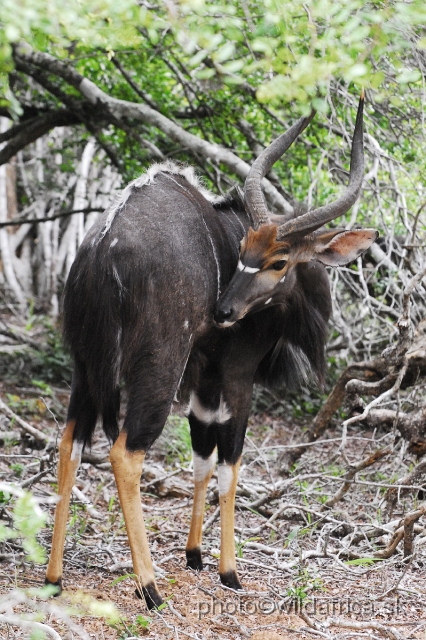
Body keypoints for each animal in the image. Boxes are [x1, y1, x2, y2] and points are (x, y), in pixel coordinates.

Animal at [46, 94, 378, 604]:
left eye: (277, 260)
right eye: (243, 250)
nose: (223, 310)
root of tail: (101, 251)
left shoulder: (205, 375)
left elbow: (201, 453)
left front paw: (194, 554)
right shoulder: (237, 375)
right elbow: (230, 462)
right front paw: (229, 570)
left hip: (85, 365)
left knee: (71, 441)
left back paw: (54, 578)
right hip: (159, 367)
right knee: (126, 452)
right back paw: (150, 588)